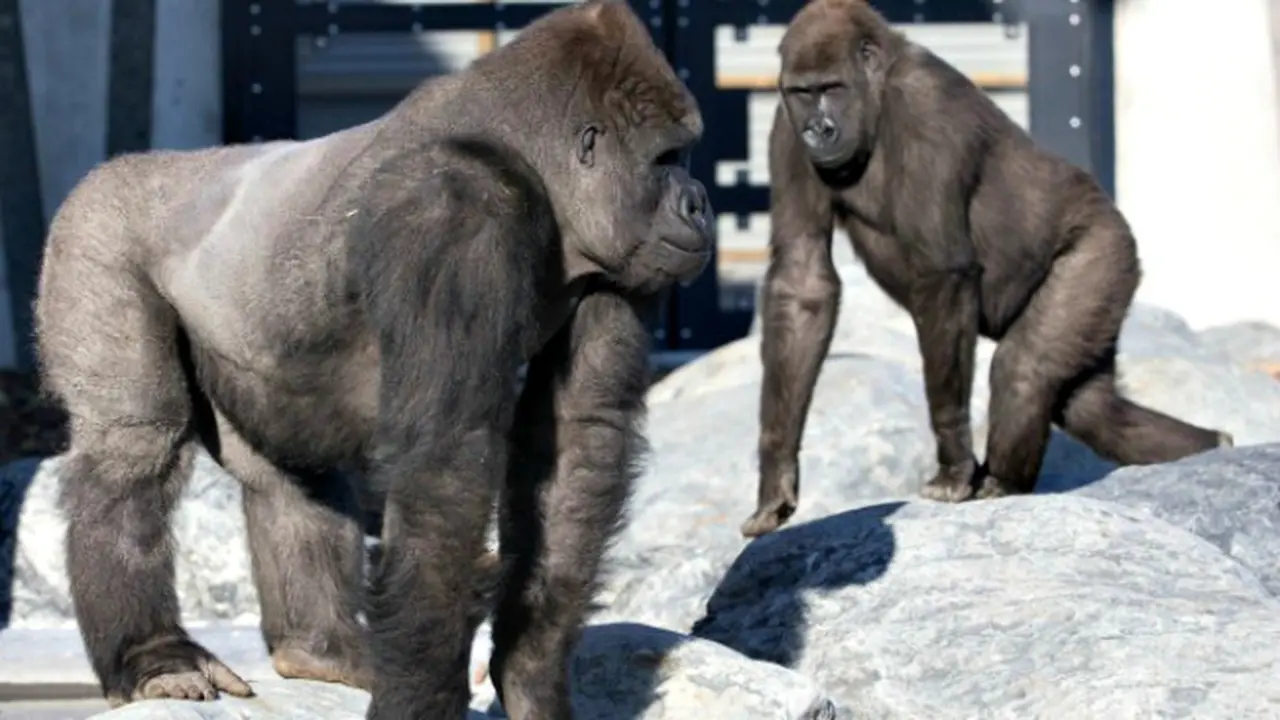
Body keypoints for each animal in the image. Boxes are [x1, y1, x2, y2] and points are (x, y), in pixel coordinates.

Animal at [32, 2, 712, 718]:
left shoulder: (617, 263)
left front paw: (531, 673)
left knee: (290, 472)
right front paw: (423, 694)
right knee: (134, 443)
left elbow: (580, 443)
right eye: (668, 158)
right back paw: (152, 654)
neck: (529, 163)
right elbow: (447, 458)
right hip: (95, 230)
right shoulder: (455, 212)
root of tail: (117, 166)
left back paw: (320, 646)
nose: (699, 201)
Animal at [740, 0, 1233, 538]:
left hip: (1105, 251)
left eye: (831, 89)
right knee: (1093, 407)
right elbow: (802, 283)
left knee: (1025, 368)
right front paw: (775, 477)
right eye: (802, 94)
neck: (880, 85)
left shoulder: (926, 107)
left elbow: (943, 272)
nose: (818, 130)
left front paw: (955, 464)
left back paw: (1003, 484)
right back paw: (1211, 447)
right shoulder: (785, 129)